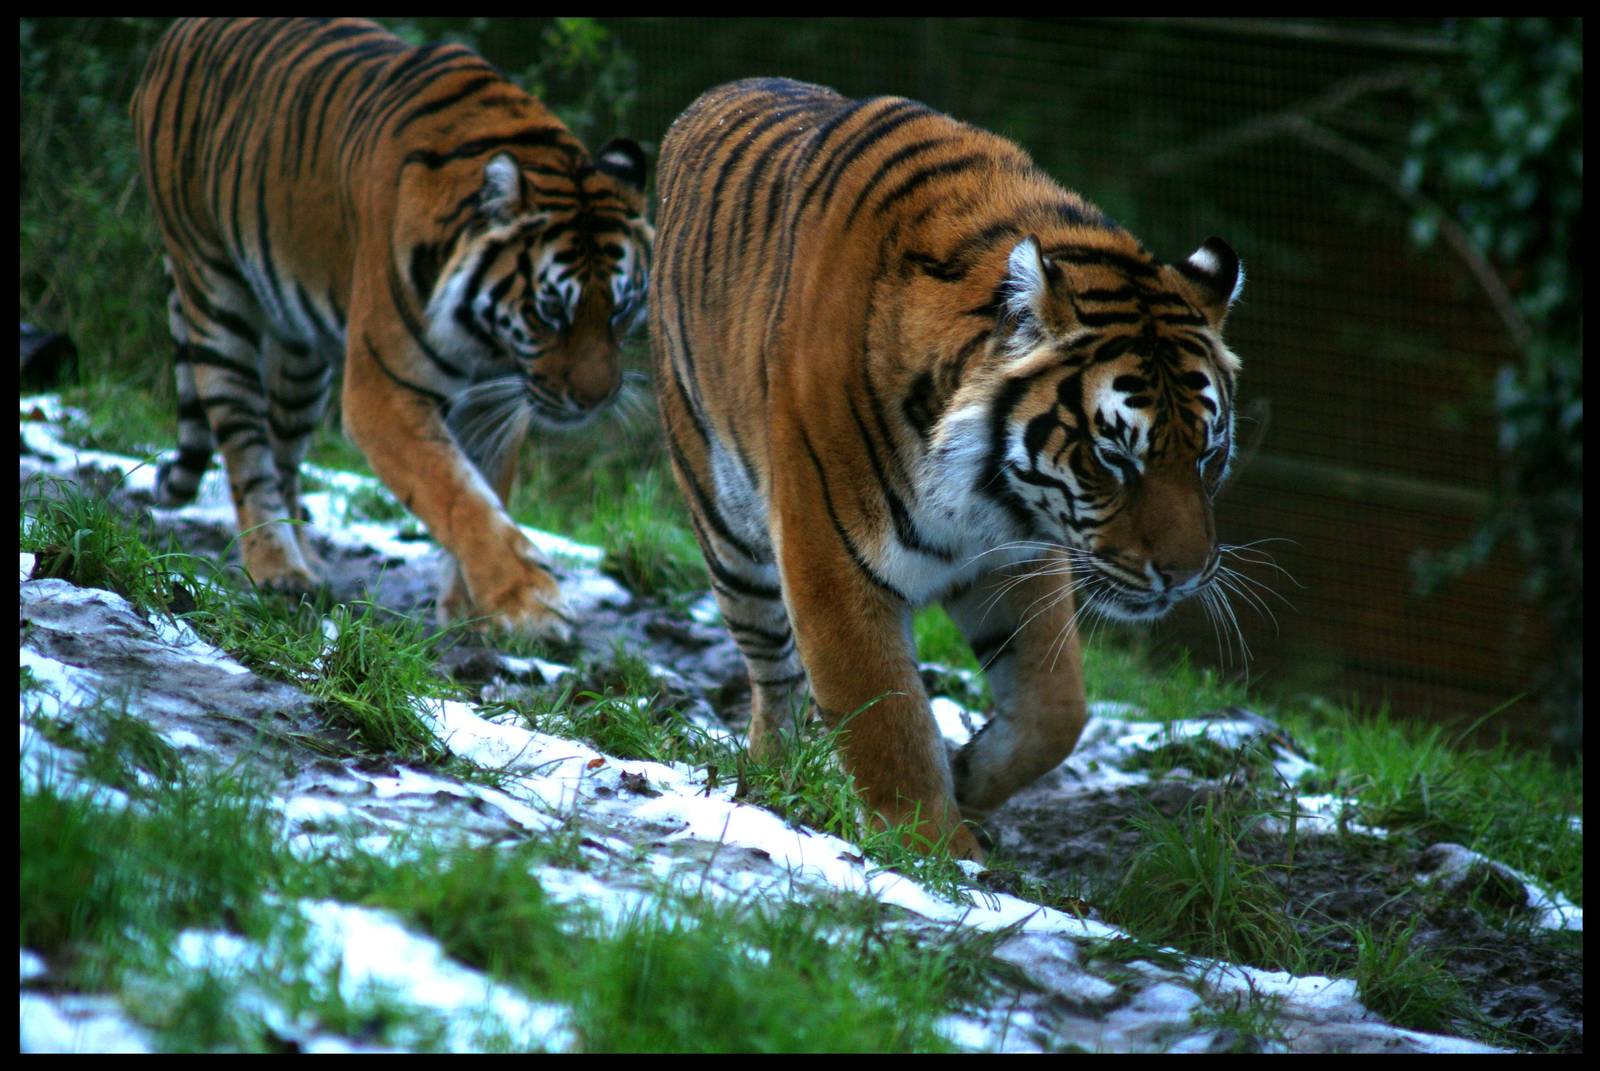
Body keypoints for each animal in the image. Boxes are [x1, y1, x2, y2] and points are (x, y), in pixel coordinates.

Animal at [130, 18, 651, 642]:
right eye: (551, 311)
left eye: (620, 310)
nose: (595, 400)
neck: (487, 336)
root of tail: (175, 34)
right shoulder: (383, 393)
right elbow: (457, 495)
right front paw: (531, 605)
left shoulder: (494, 401)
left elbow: (487, 491)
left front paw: (470, 612)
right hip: (212, 288)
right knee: (246, 448)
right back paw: (278, 568)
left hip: (301, 354)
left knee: (284, 456)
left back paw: (308, 559)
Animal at [650, 78, 1245, 861]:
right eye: (1115, 456)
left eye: (1207, 454)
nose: (1185, 576)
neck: (983, 497)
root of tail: (719, 93)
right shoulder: (829, 559)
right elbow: (889, 725)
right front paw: (936, 855)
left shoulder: (1016, 555)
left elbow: (1058, 708)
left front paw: (969, 779)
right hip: (728, 530)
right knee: (772, 677)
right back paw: (777, 777)